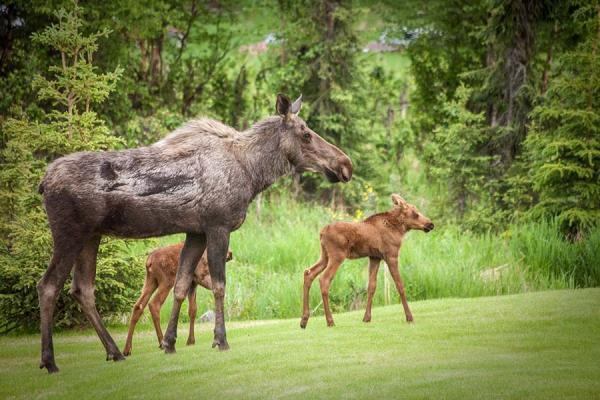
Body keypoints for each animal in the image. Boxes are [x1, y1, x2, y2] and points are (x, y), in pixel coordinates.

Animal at [37, 93, 352, 372]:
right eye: (305, 134)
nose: (345, 164)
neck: (252, 173)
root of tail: (43, 183)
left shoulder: (195, 232)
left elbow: (180, 286)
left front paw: (169, 343)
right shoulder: (217, 226)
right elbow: (220, 285)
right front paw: (220, 340)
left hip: (91, 236)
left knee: (82, 289)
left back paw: (114, 353)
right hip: (69, 234)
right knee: (48, 285)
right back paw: (50, 361)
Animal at [302, 194, 434, 328]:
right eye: (415, 213)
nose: (430, 224)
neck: (399, 229)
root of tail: (321, 232)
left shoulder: (375, 257)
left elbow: (371, 286)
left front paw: (366, 317)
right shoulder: (391, 255)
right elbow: (400, 285)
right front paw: (409, 317)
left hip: (325, 256)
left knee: (308, 273)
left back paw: (304, 320)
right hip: (337, 255)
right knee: (324, 279)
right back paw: (330, 321)